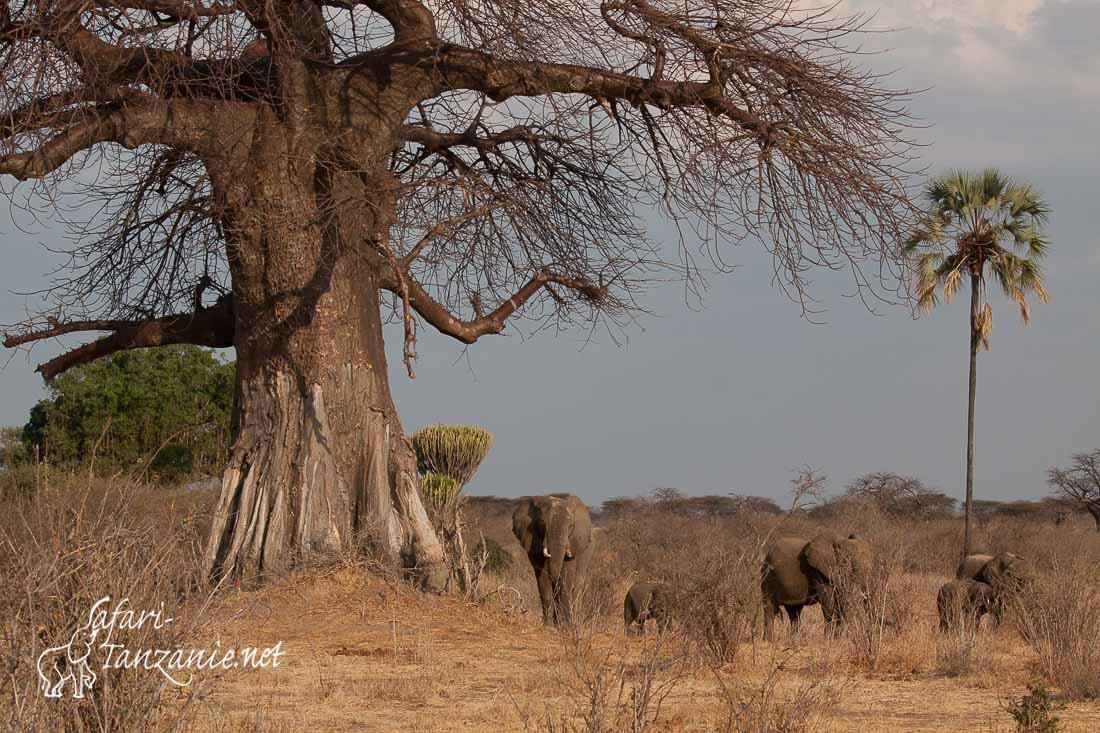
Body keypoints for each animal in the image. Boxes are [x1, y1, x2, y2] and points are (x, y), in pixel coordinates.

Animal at [512, 490, 594, 620]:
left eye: (571, 526)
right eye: (542, 524)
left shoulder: (573, 543)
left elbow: (566, 578)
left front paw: (565, 625)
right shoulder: (533, 542)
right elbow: (542, 579)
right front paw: (548, 624)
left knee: (576, 589)